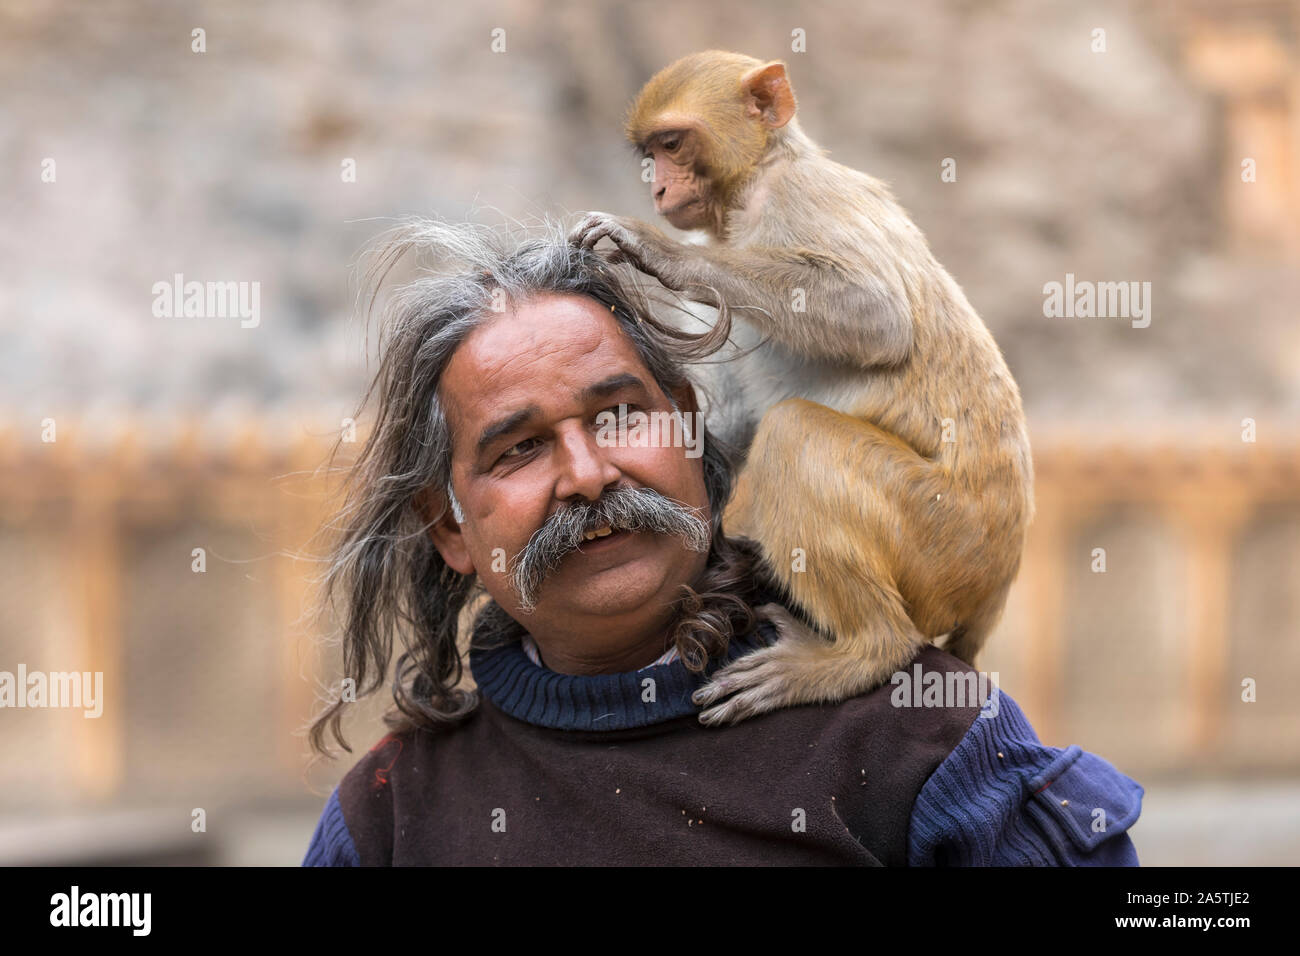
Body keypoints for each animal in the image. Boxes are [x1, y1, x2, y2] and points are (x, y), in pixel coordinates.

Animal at [569, 50, 1034, 726]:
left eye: (673, 144)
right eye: (650, 152)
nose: (657, 188)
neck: (750, 190)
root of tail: (995, 588)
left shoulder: (803, 197)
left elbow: (876, 314)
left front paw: (659, 252)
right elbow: (733, 420)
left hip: (942, 539)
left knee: (797, 432)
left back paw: (863, 652)